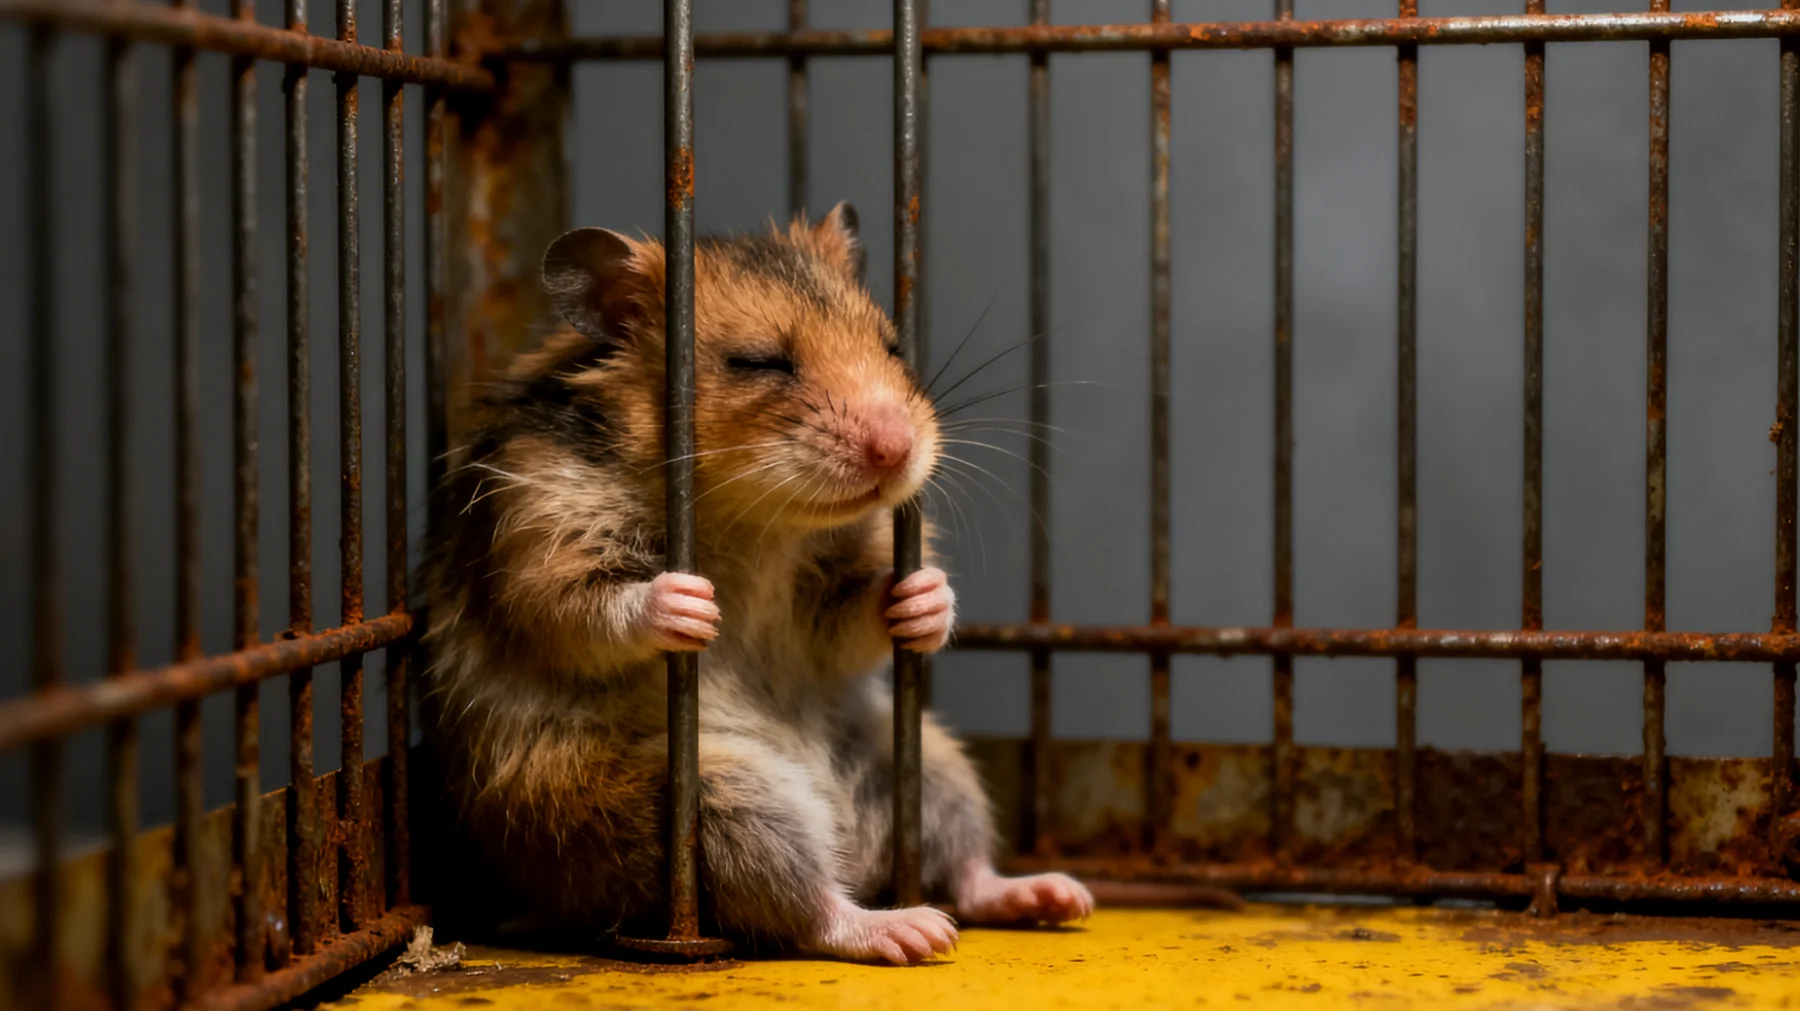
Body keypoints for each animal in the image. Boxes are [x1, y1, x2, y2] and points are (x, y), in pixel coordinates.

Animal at [420, 203, 1093, 965]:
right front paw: (693, 603)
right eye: (758, 362)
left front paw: (924, 594)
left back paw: (1054, 897)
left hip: (930, 765)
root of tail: (858, 849)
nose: (898, 451)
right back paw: (908, 930)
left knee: (966, 871)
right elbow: (584, 612)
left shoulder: (823, 600)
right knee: (804, 910)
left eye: (893, 346)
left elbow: (856, 615)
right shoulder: (540, 536)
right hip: (718, 802)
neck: (755, 518)